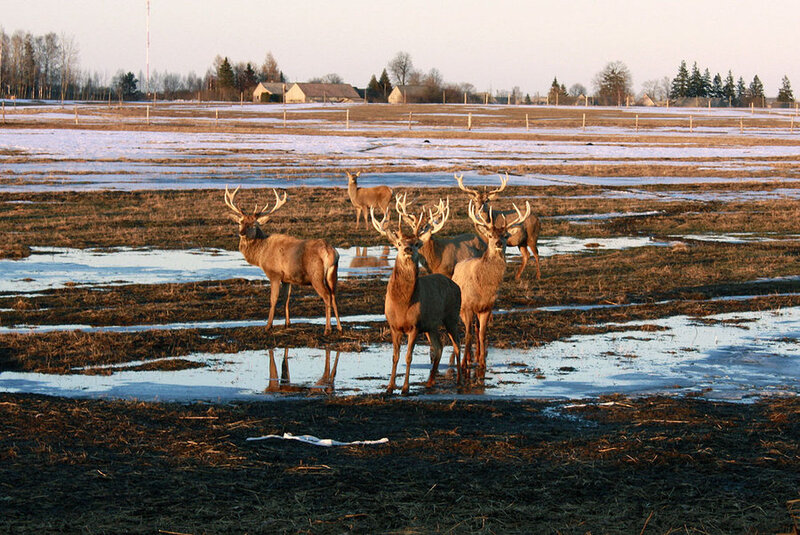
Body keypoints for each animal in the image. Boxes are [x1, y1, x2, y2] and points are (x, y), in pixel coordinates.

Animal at [224, 186, 342, 335]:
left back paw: (327, 329)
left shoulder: (274, 274)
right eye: (241, 222)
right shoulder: (287, 278)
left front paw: (268, 326)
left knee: (326, 296)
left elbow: (273, 299)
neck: (261, 254)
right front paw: (287, 323)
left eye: (254, 224)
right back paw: (339, 327)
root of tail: (330, 252)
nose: (241, 233)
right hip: (333, 274)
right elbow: (286, 298)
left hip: (316, 275)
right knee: (334, 296)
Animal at [370, 195, 461, 394]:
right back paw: (430, 382)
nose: (407, 249)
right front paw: (389, 387)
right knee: (439, 346)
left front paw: (405, 388)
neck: (403, 303)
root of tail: (456, 285)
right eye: (398, 243)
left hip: (451, 316)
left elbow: (408, 357)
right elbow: (395, 357)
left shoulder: (414, 326)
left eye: (416, 243)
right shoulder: (394, 326)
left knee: (457, 345)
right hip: (432, 325)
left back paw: (460, 379)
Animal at [452, 199, 531, 370]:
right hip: (459, 307)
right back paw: (468, 358)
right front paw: (464, 363)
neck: (483, 287)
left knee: (475, 329)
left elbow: (482, 334)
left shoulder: (488, 307)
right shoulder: (467, 306)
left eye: (506, 235)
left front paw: (482, 362)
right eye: (489, 235)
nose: (498, 243)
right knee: (466, 330)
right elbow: (467, 334)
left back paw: (475, 356)